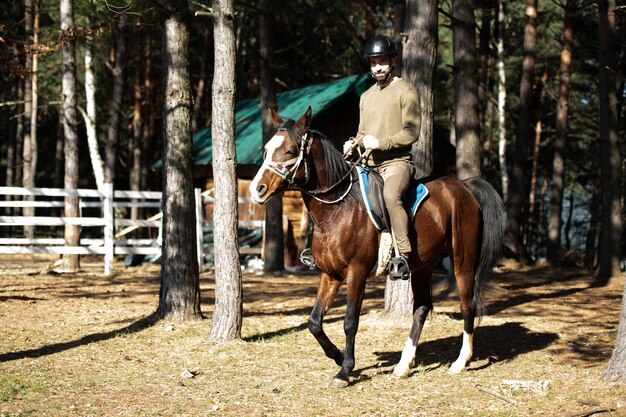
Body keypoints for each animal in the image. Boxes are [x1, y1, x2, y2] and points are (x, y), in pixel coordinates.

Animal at [249, 106, 508, 386]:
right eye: (266, 149)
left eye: (289, 151)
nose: (257, 189)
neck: (337, 209)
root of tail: (465, 186)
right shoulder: (330, 274)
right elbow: (314, 321)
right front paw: (337, 356)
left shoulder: (357, 273)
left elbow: (350, 321)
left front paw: (345, 370)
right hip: (422, 266)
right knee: (421, 308)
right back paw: (404, 365)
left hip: (463, 262)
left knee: (466, 305)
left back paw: (461, 361)